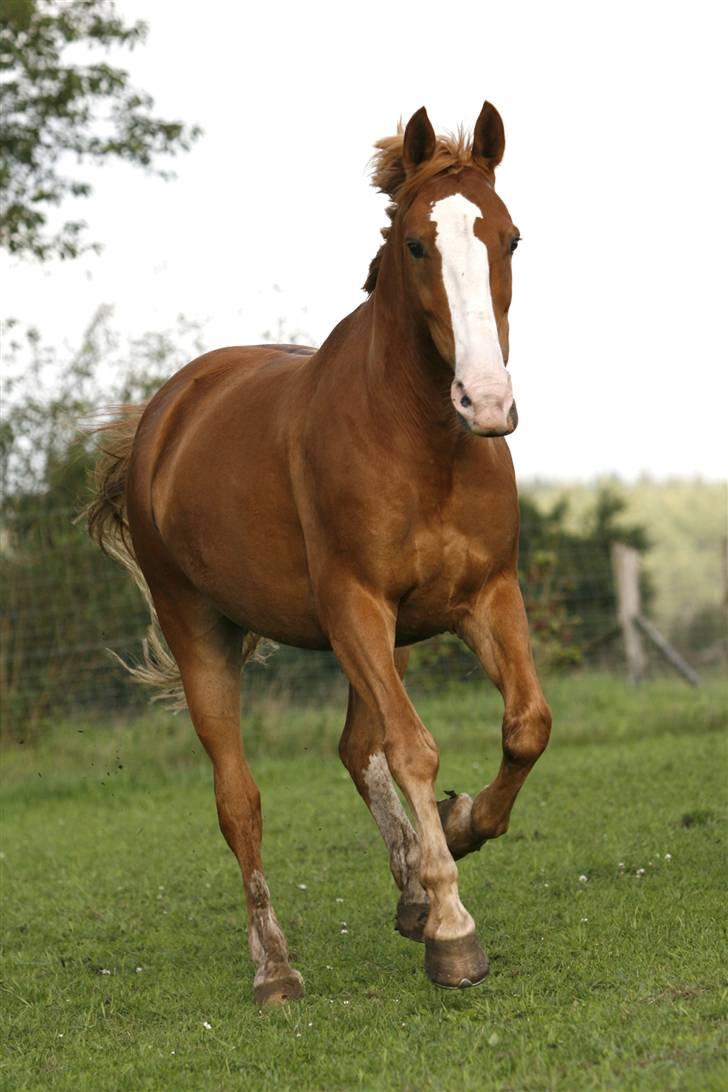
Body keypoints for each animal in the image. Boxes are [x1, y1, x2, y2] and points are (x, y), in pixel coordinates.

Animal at [86, 104, 552, 1004]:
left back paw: (410, 891)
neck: (423, 441)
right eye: (417, 245)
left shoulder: (485, 597)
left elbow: (525, 727)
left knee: (353, 749)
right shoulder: (356, 606)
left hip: (374, 639)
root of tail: (165, 414)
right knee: (240, 800)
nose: (486, 402)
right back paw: (275, 968)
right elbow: (413, 750)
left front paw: (460, 829)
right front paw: (455, 933)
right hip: (207, 632)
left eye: (510, 237)